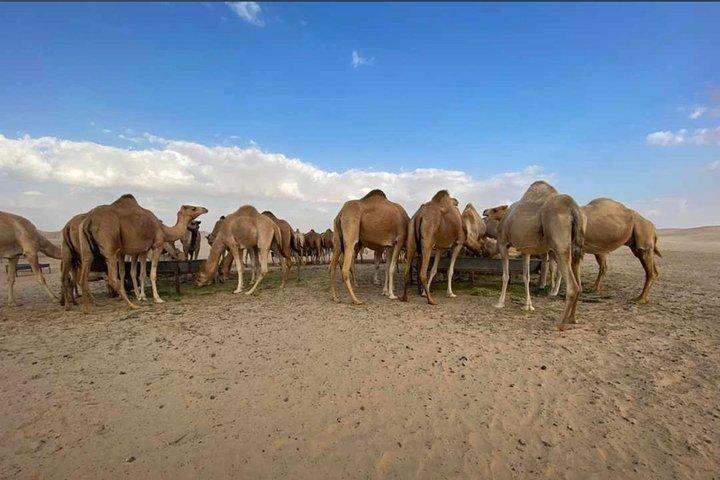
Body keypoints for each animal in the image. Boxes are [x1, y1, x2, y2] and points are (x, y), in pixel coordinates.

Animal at [78, 194, 207, 311]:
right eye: (193, 208)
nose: (205, 209)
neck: (163, 229)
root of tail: (88, 220)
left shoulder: (144, 250)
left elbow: (142, 273)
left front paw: (142, 296)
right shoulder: (157, 245)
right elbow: (152, 274)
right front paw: (157, 298)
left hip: (86, 250)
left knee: (83, 277)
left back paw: (87, 308)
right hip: (110, 248)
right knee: (113, 278)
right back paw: (131, 305)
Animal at [492, 181, 585, 328]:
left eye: (495, 209)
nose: (484, 211)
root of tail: (573, 208)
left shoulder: (502, 243)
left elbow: (505, 275)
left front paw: (500, 302)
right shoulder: (526, 250)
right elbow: (526, 277)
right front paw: (528, 306)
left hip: (560, 245)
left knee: (573, 286)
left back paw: (561, 323)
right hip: (576, 246)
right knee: (579, 284)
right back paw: (573, 319)